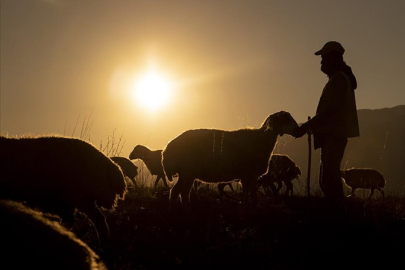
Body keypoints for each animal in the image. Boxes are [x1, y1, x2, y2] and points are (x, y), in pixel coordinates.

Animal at [160, 109, 296, 209]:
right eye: (286, 119)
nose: (298, 131)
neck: (262, 139)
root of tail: (167, 150)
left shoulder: (246, 176)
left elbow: (248, 194)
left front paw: (246, 205)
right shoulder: (249, 174)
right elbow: (251, 195)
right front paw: (250, 208)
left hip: (186, 173)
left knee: (176, 192)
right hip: (188, 172)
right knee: (181, 192)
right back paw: (186, 209)